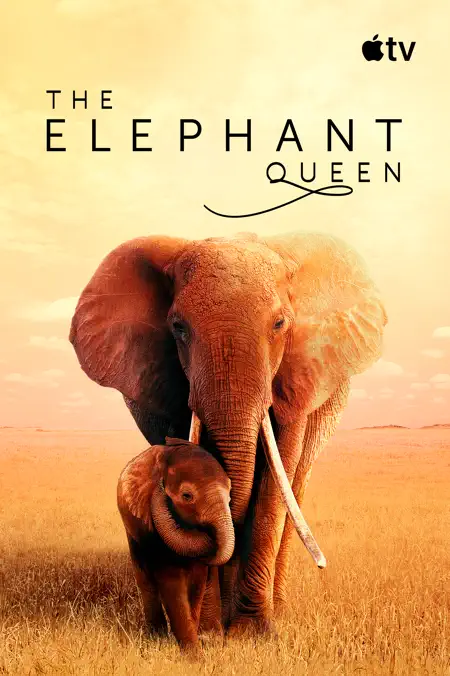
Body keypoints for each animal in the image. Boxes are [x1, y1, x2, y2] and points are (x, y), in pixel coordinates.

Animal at [117, 436, 234, 649]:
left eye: (229, 495)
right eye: (187, 496)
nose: (161, 487)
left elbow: (197, 582)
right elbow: (171, 581)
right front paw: (193, 655)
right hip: (132, 534)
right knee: (145, 580)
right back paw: (156, 637)